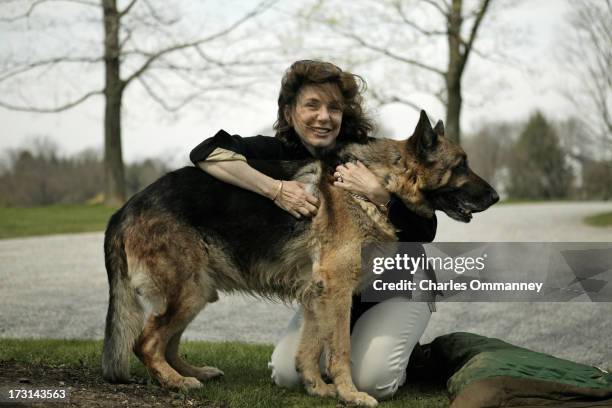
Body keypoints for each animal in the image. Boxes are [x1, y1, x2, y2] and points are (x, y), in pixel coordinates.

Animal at [101, 110, 498, 406]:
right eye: (461, 165)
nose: (496, 197)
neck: (378, 183)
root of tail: (124, 209)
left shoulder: (316, 295)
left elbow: (310, 348)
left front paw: (317, 388)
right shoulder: (337, 291)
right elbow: (338, 349)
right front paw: (349, 394)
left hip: (196, 292)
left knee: (168, 341)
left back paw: (192, 372)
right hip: (188, 292)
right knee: (147, 342)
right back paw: (175, 382)